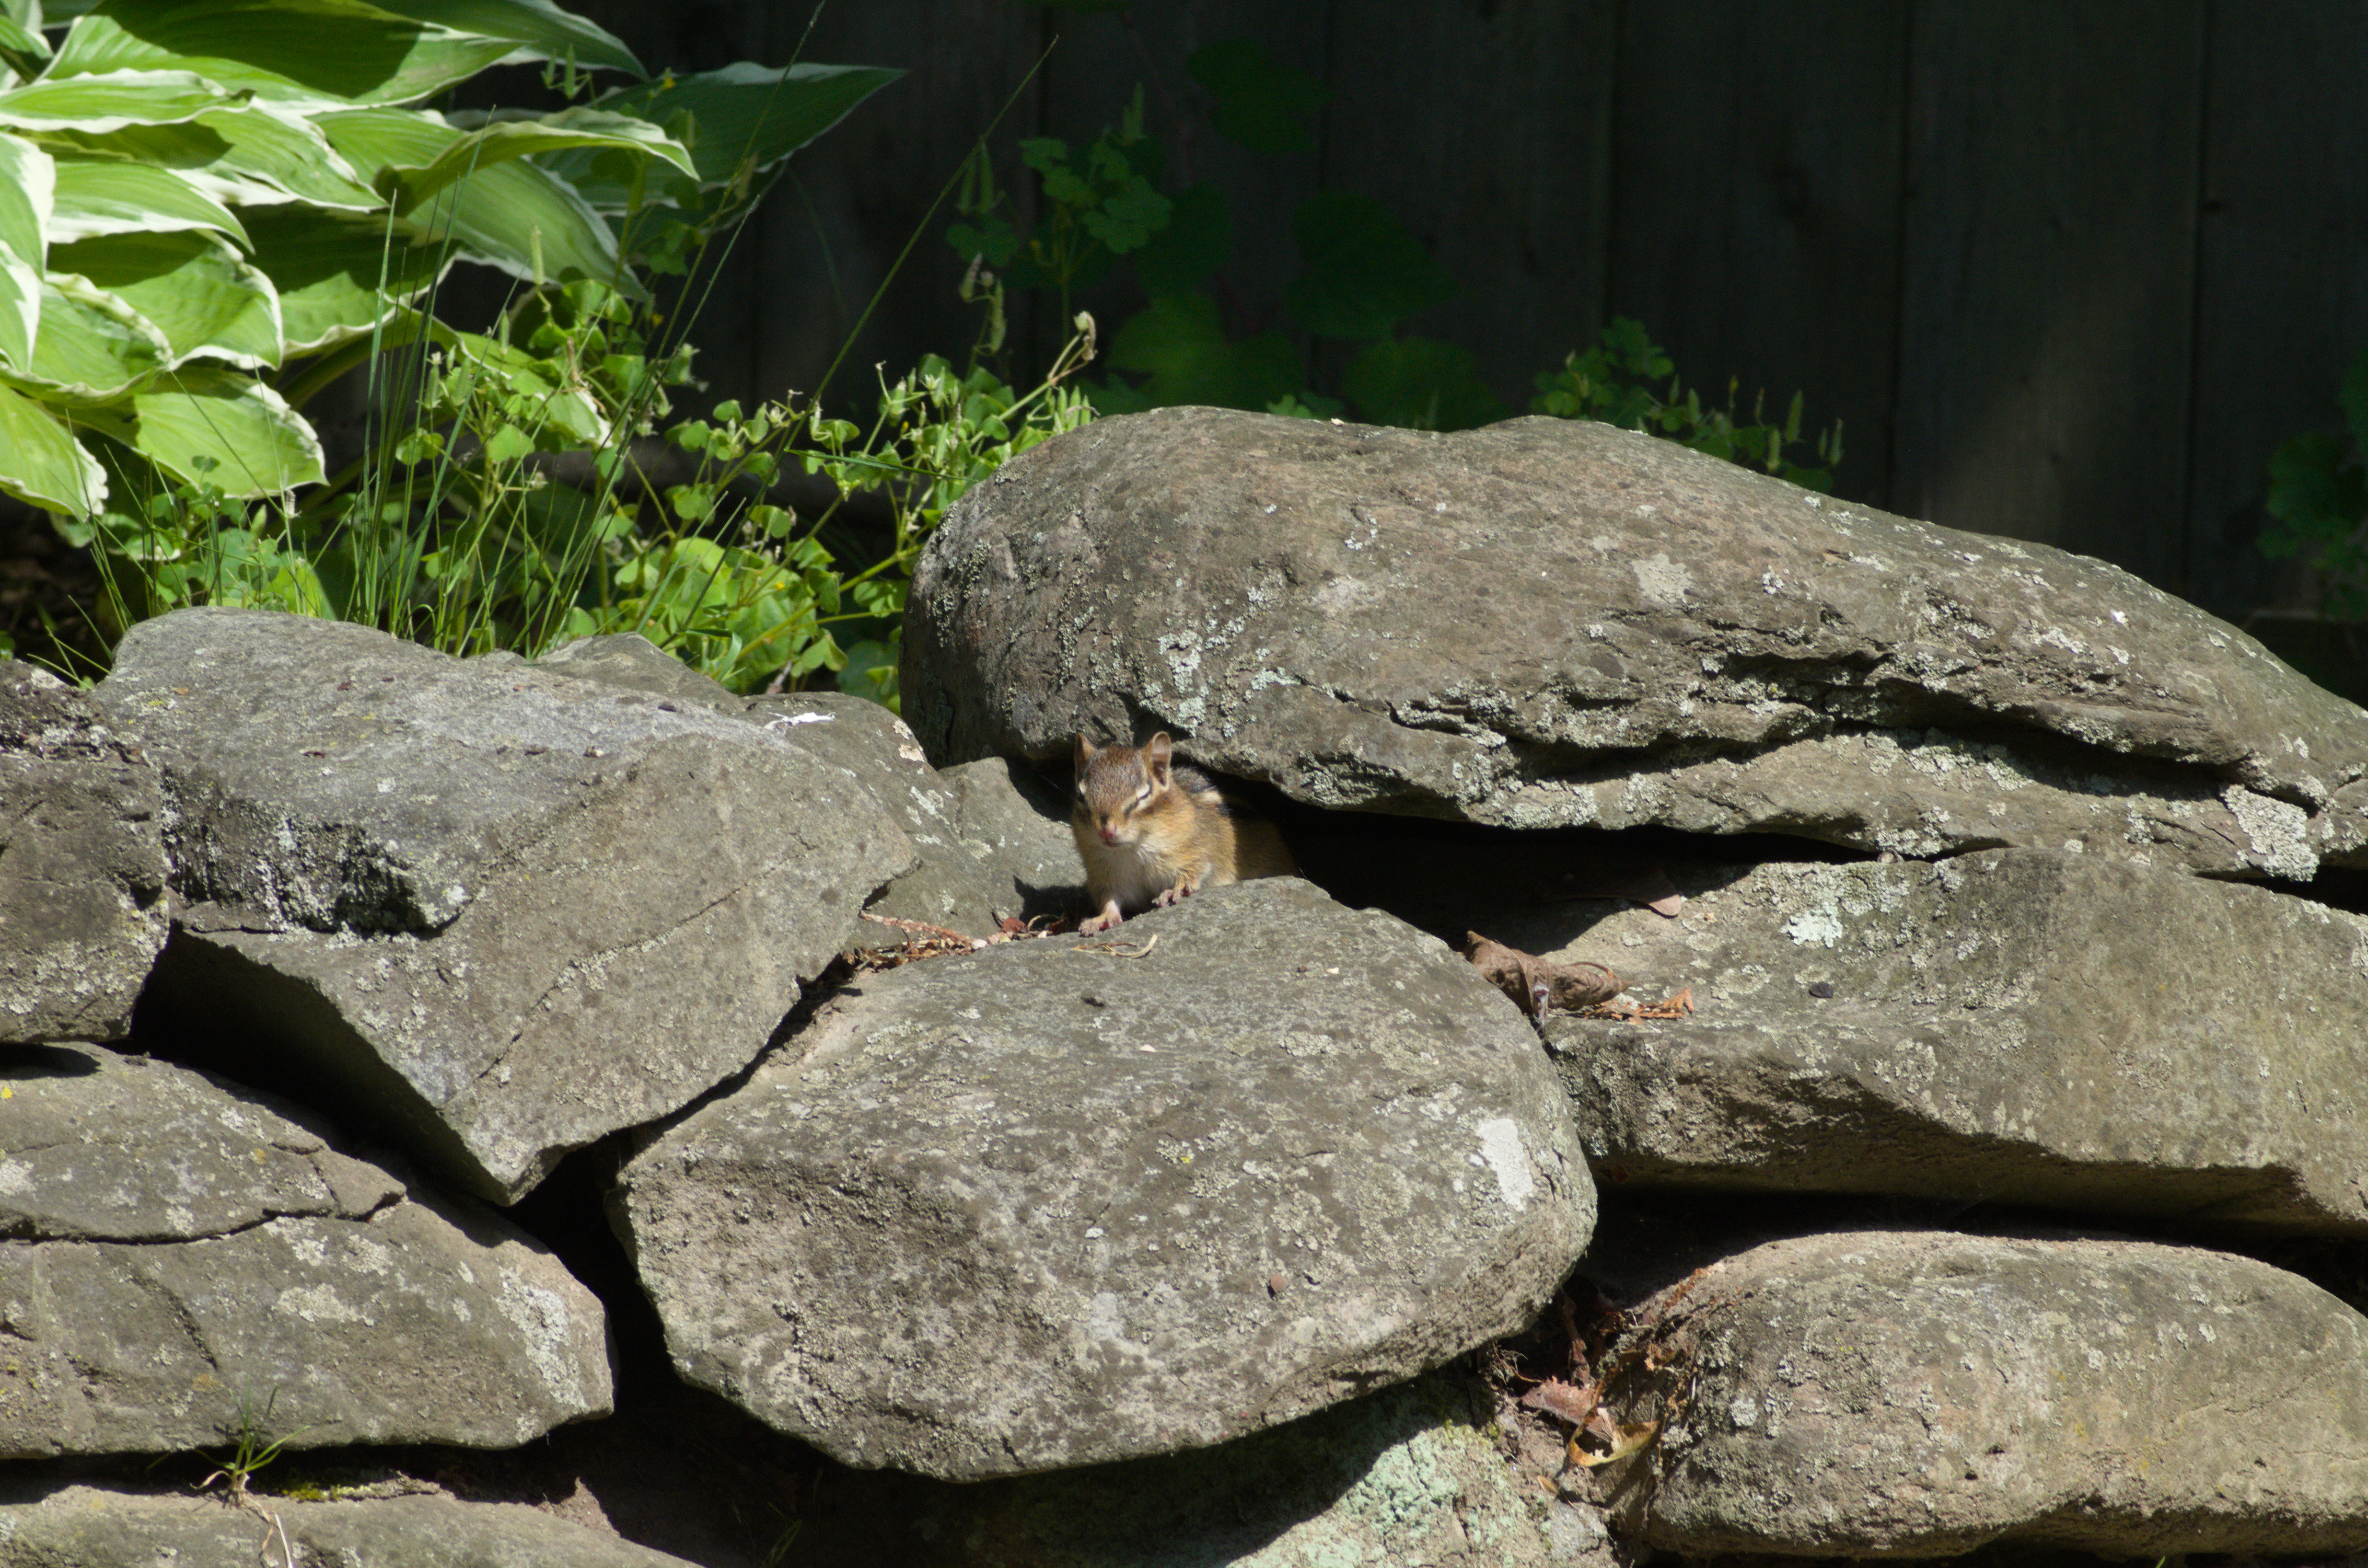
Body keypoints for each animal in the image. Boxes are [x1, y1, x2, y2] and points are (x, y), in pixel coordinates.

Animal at [1070, 732, 1297, 934]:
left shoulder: (1194, 851)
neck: (1133, 848)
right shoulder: (1105, 877)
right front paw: (1102, 919)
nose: (1107, 831)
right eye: (1081, 797)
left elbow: (1193, 870)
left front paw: (1175, 891)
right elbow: (1110, 900)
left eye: (1144, 795)